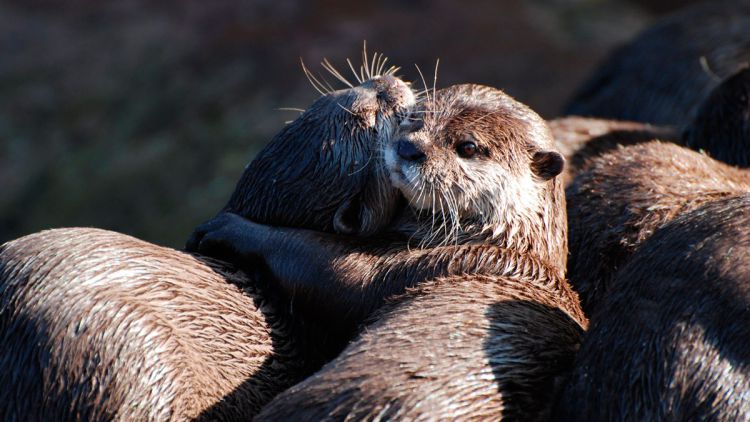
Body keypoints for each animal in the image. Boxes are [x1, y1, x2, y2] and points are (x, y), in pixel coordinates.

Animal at [192, 84, 588, 420]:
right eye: (414, 119)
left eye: (468, 147)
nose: (409, 148)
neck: (495, 241)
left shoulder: (410, 265)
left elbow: (329, 268)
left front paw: (226, 227)